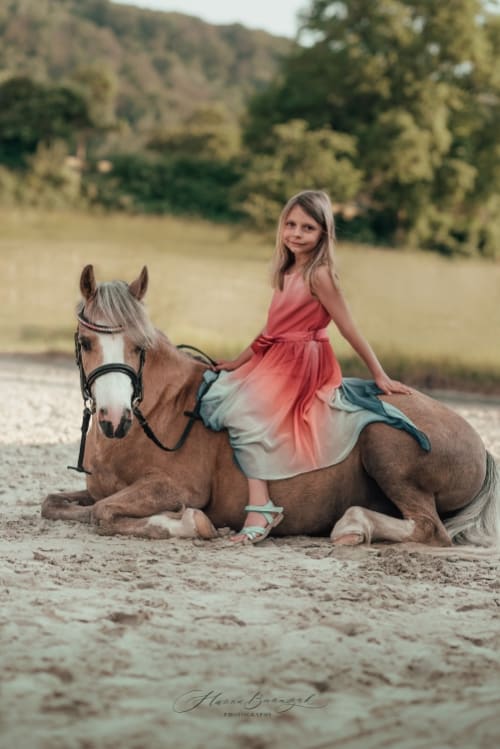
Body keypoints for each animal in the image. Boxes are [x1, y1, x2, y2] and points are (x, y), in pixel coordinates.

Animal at [42, 265, 500, 548]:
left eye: (140, 346)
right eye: (86, 342)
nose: (114, 419)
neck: (155, 414)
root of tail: (480, 445)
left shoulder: (175, 488)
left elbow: (102, 513)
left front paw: (193, 523)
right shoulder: (92, 489)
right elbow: (55, 504)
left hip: (384, 443)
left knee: (430, 529)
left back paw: (353, 525)